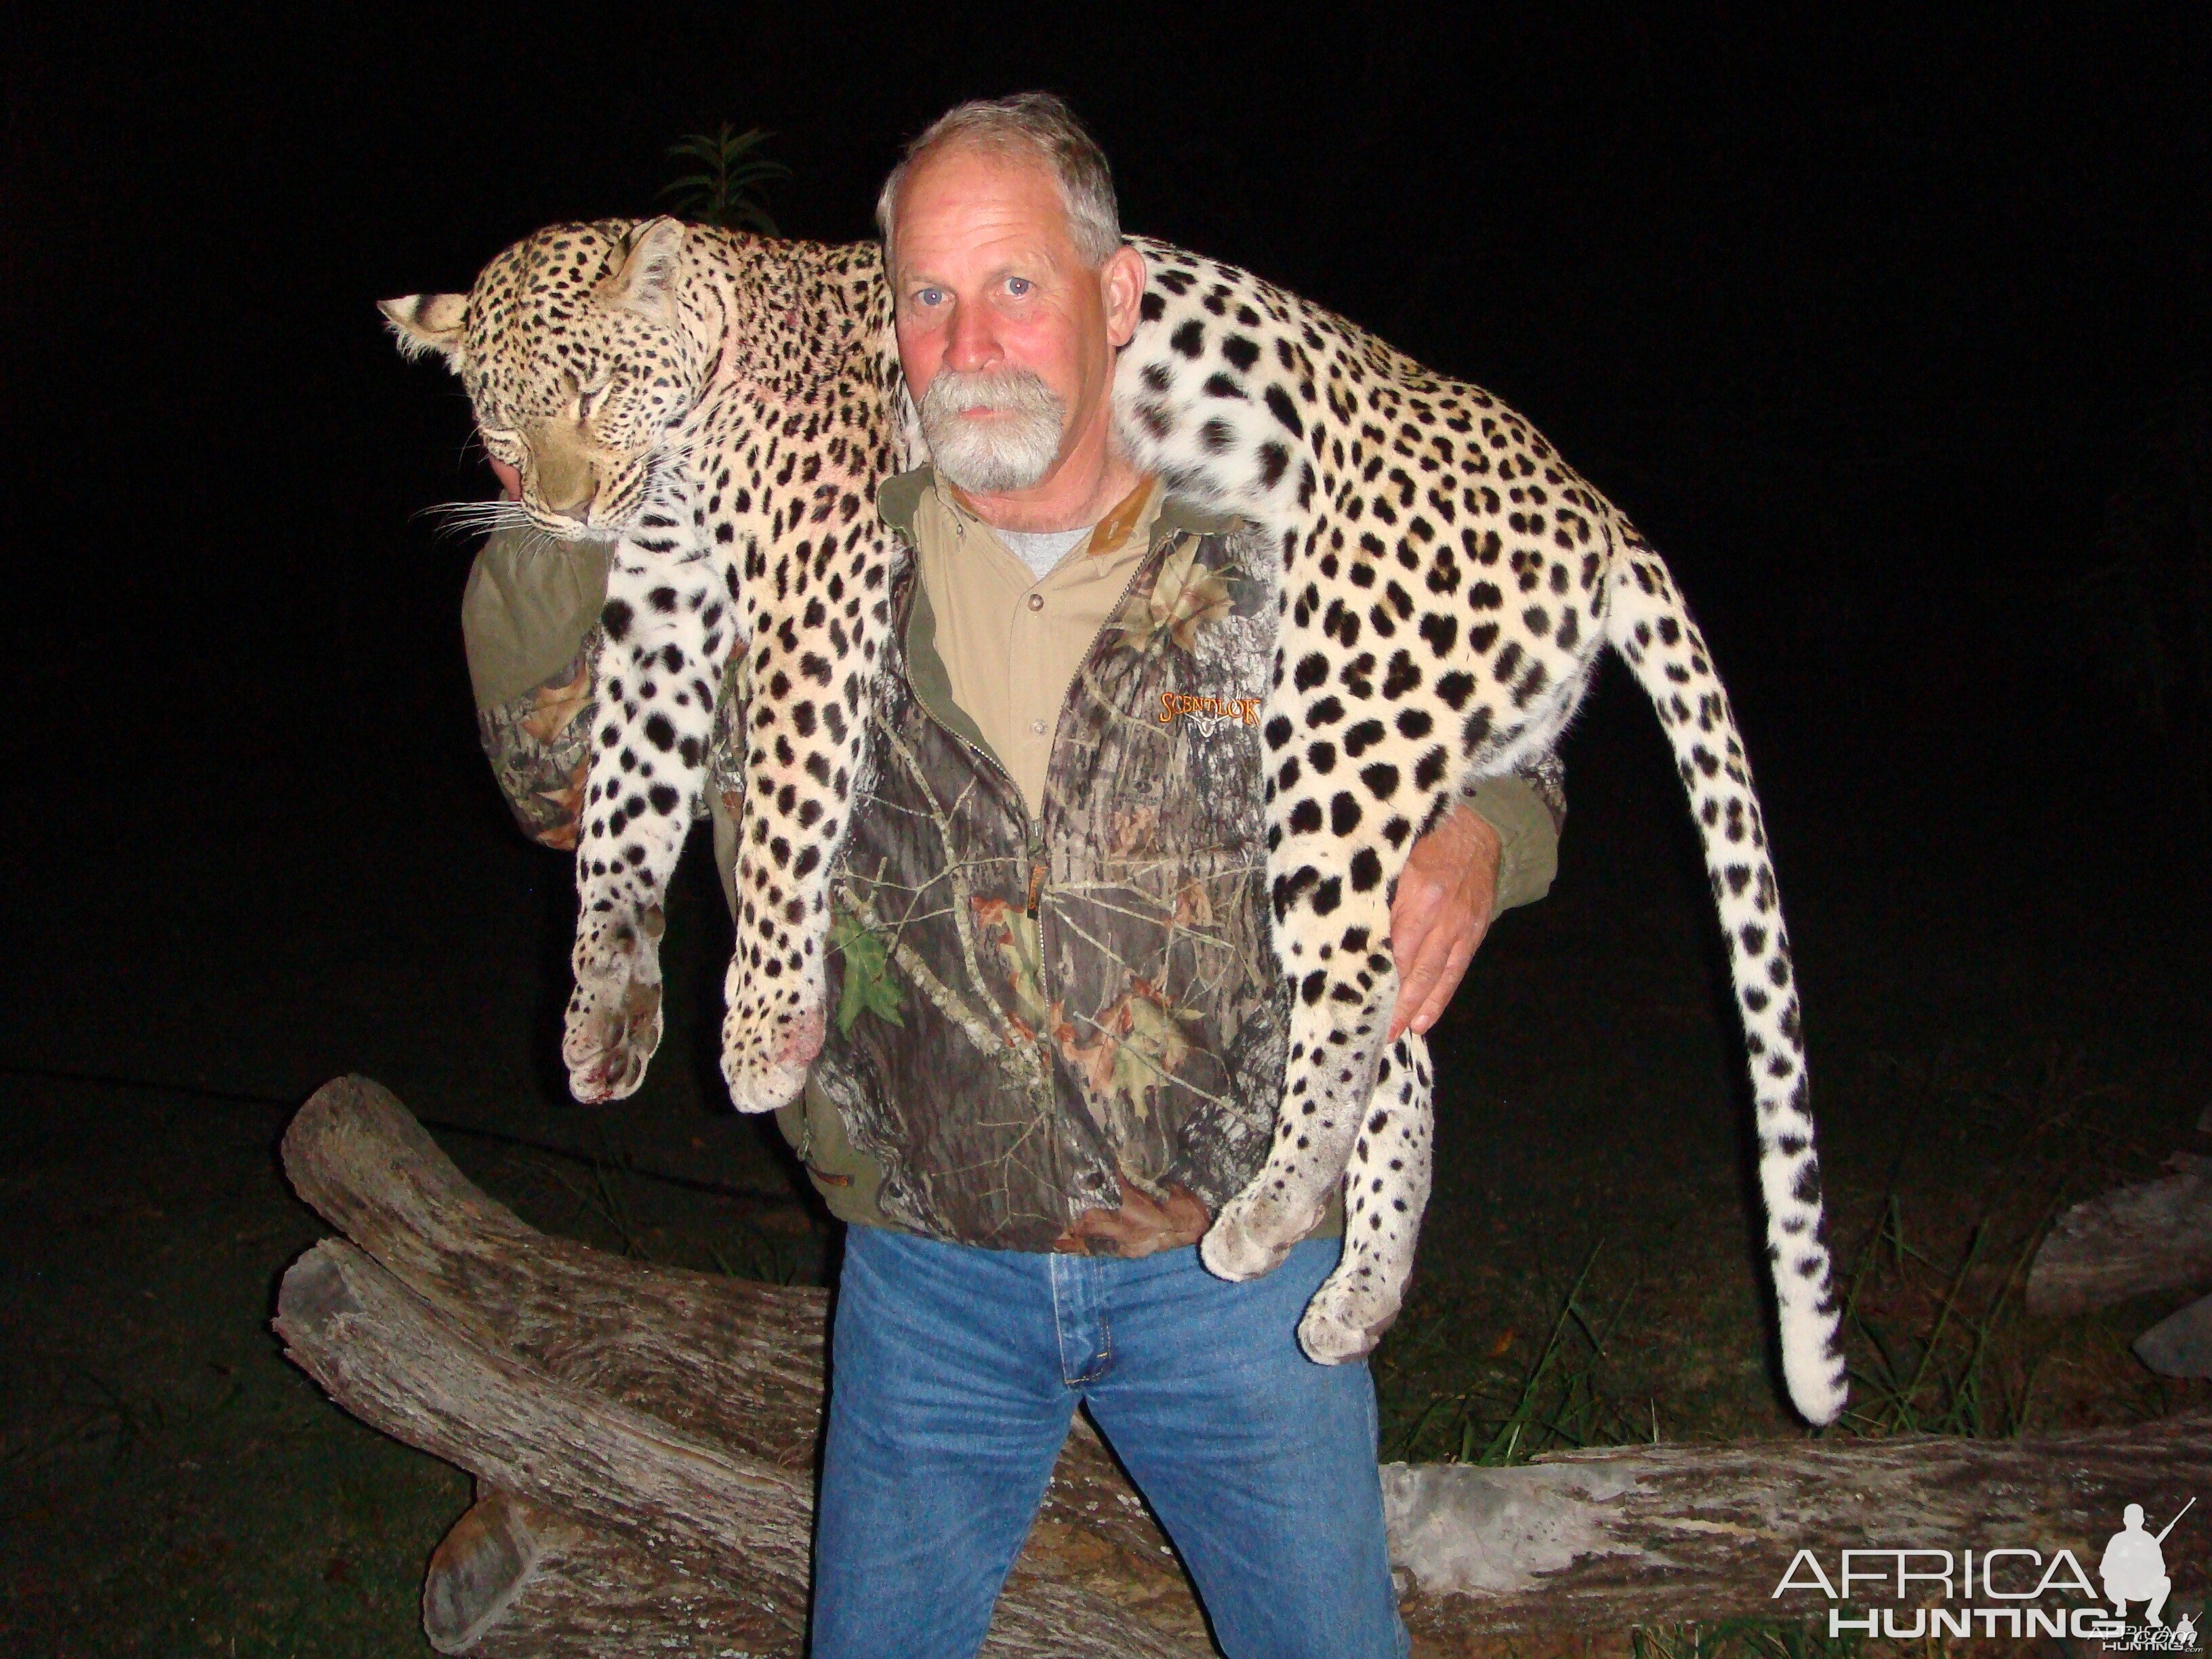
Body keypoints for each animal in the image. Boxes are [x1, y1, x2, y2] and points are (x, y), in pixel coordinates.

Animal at [384, 214, 1849, 1425]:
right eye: (501, 425)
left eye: (589, 393)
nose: (552, 506)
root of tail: (1595, 514)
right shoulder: (663, 606)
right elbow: (618, 818)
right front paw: (604, 1014)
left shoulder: (815, 577)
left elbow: (791, 800)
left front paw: (757, 1031)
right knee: (1399, 1024)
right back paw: (1353, 1285)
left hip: (1342, 712)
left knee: (1356, 982)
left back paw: (1262, 1217)